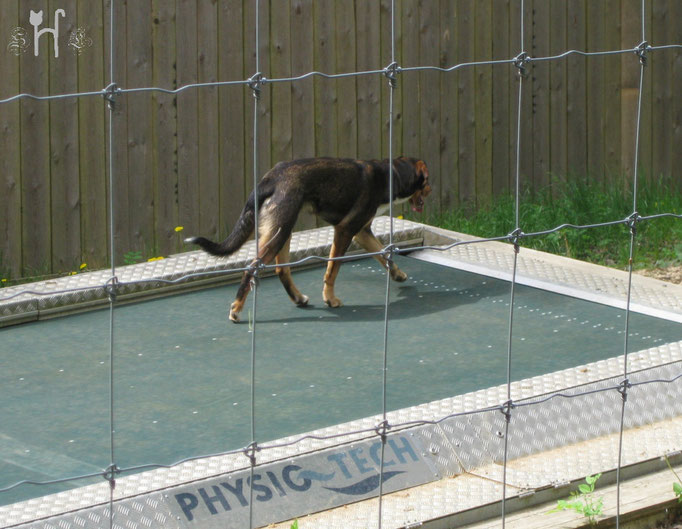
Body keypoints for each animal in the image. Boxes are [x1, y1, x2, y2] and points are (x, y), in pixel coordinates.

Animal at [185, 156, 430, 322]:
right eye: (427, 181)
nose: (430, 192)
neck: (391, 175)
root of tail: (270, 178)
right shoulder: (345, 230)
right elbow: (332, 270)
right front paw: (330, 299)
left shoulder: (361, 232)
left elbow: (384, 254)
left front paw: (397, 274)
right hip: (280, 231)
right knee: (251, 269)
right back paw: (236, 309)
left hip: (283, 230)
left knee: (281, 270)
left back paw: (297, 298)